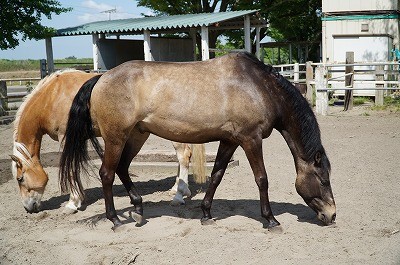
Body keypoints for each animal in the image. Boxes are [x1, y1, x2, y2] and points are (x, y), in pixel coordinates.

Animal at [10, 70, 205, 214]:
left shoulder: (65, 137)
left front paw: (72, 202)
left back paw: (179, 195)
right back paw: (178, 188)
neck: (52, 97)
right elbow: (76, 166)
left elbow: (70, 168)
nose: (28, 208)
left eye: (20, 178)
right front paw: (80, 197)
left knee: (183, 156)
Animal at [58, 52, 334, 229]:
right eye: (323, 179)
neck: (259, 87)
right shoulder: (251, 139)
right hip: (116, 137)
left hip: (137, 135)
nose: (331, 215)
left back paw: (137, 209)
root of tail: (99, 78)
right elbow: (262, 179)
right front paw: (271, 219)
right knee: (107, 173)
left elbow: (216, 176)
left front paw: (206, 213)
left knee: (123, 168)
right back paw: (115, 220)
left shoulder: (230, 140)